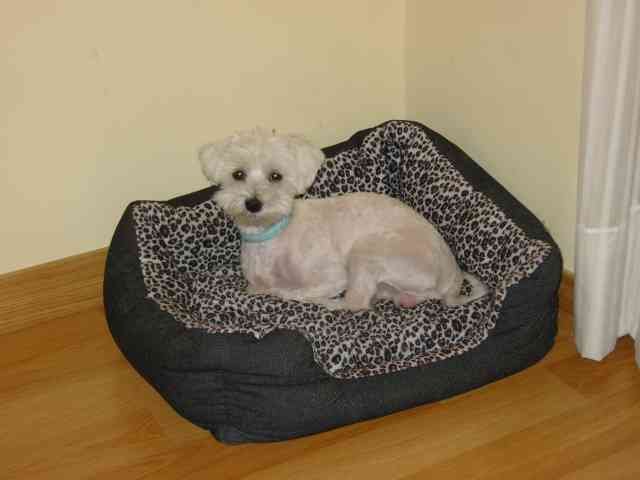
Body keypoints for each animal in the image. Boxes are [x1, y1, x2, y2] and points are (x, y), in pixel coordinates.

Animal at [200, 126, 490, 312]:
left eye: (276, 176)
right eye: (238, 174)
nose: (253, 203)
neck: (271, 237)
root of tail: (451, 282)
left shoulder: (334, 276)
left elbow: (292, 291)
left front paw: (286, 292)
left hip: (368, 252)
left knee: (356, 304)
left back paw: (331, 304)